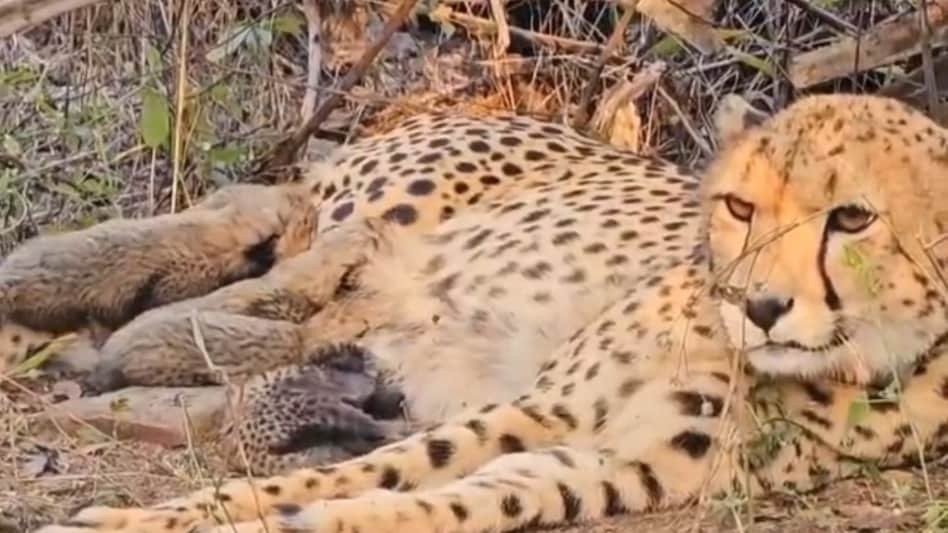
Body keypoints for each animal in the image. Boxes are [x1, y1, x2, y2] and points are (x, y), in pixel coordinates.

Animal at [33, 92, 948, 533]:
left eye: (852, 218)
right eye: (739, 206)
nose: (757, 304)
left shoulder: (613, 463)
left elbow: (437, 497)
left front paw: (311, 516)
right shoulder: (545, 407)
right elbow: (351, 471)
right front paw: (137, 518)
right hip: (389, 204)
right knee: (265, 225)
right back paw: (70, 305)